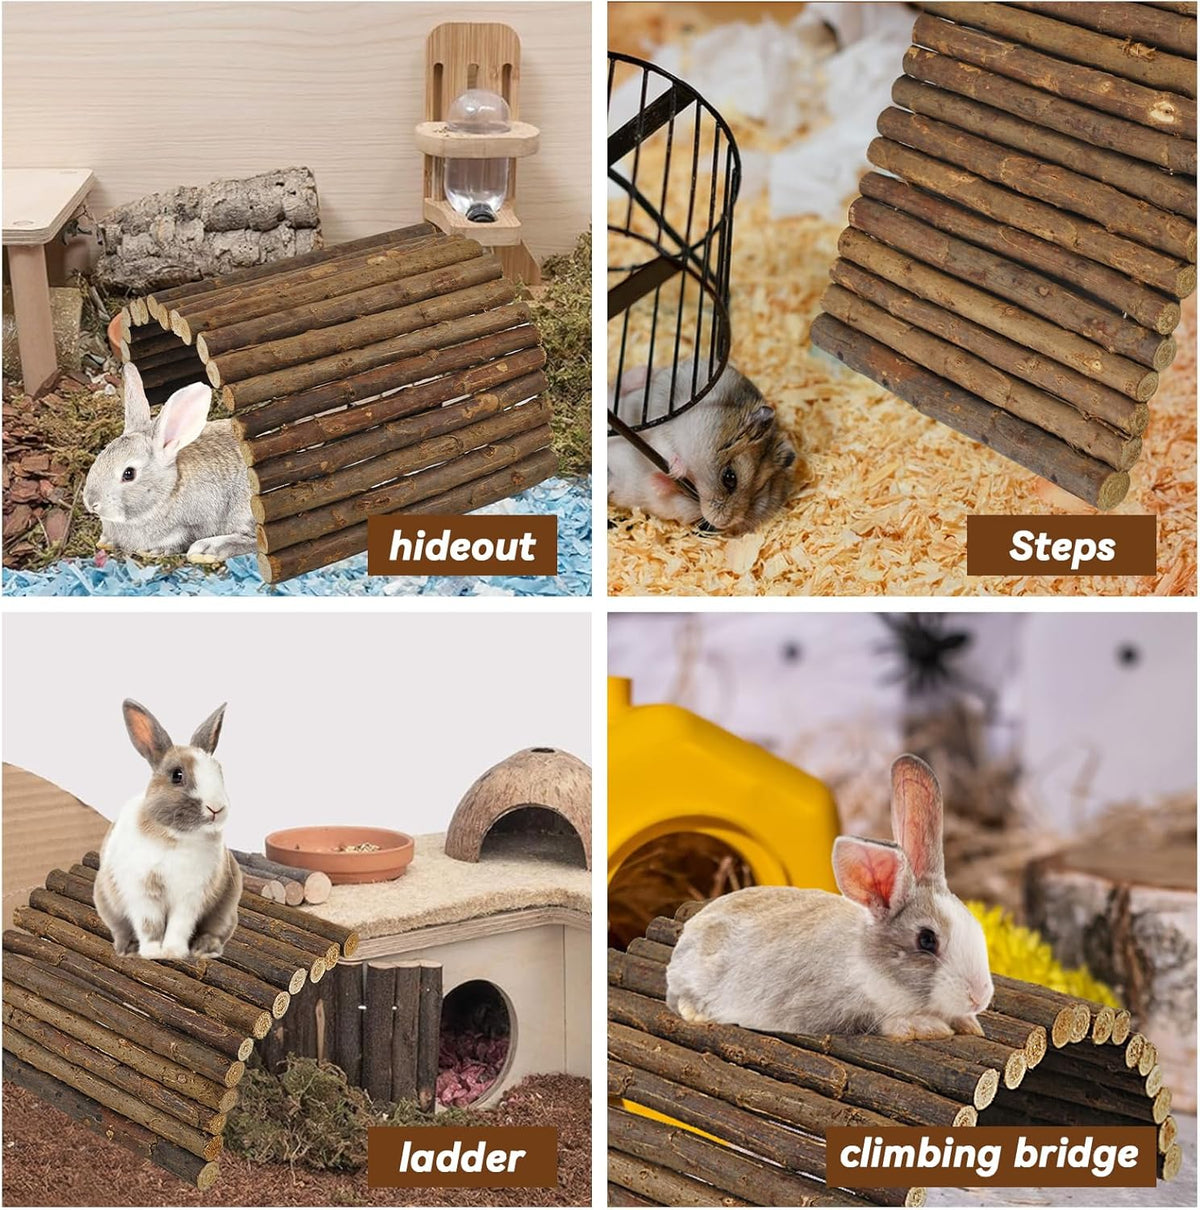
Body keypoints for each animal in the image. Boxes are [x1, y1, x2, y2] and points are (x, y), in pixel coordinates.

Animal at [83, 363, 257, 563]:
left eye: (129, 474)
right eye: (101, 455)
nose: (91, 502)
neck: (167, 492)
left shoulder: (191, 526)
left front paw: (153, 551)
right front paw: (105, 541)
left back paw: (206, 550)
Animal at [94, 699, 243, 961]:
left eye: (219, 771)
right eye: (177, 775)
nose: (216, 808)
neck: (176, 836)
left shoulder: (190, 897)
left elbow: (178, 925)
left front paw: (173, 952)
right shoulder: (143, 892)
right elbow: (149, 924)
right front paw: (153, 952)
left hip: (226, 908)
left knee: (215, 930)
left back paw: (204, 949)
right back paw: (127, 949)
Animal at [608, 357, 796, 534]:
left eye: (759, 491)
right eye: (729, 478)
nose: (722, 523)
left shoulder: (681, 506)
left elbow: (666, 495)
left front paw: (660, 480)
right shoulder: (662, 427)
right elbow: (665, 447)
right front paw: (677, 470)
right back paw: (642, 373)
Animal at [666, 754, 993, 1040]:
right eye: (927, 939)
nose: (979, 997)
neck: (866, 964)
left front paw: (968, 1024)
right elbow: (882, 1021)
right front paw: (928, 1027)